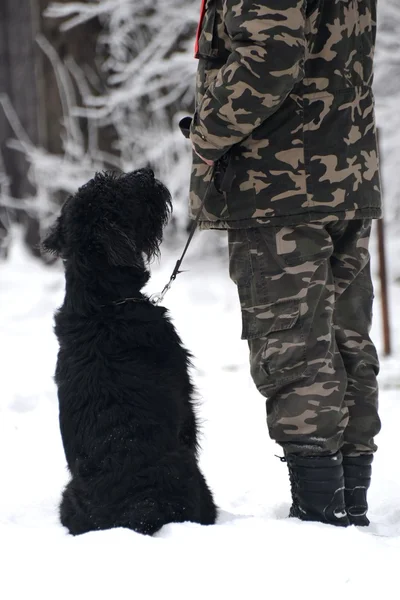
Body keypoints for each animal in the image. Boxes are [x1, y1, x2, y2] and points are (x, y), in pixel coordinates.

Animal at [42, 168, 217, 536]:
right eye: (117, 192)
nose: (147, 173)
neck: (100, 303)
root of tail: (139, 511)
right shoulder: (185, 405)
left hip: (68, 500)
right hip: (200, 486)